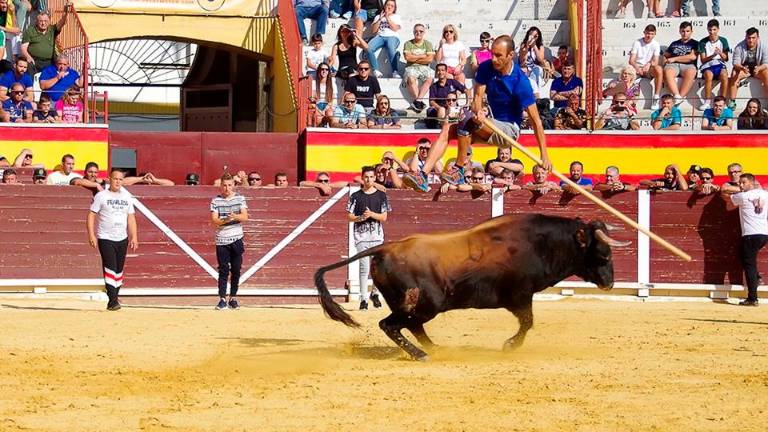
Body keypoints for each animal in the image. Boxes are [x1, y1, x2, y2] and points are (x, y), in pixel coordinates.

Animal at [314, 214, 632, 360]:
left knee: (411, 326)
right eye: (603, 255)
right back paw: (422, 354)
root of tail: (385, 248)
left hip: (417, 305)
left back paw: (436, 348)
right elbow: (528, 322)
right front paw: (509, 346)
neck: (539, 244)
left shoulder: (520, 297)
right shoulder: (521, 296)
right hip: (425, 303)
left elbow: (528, 322)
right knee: (390, 325)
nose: (609, 283)